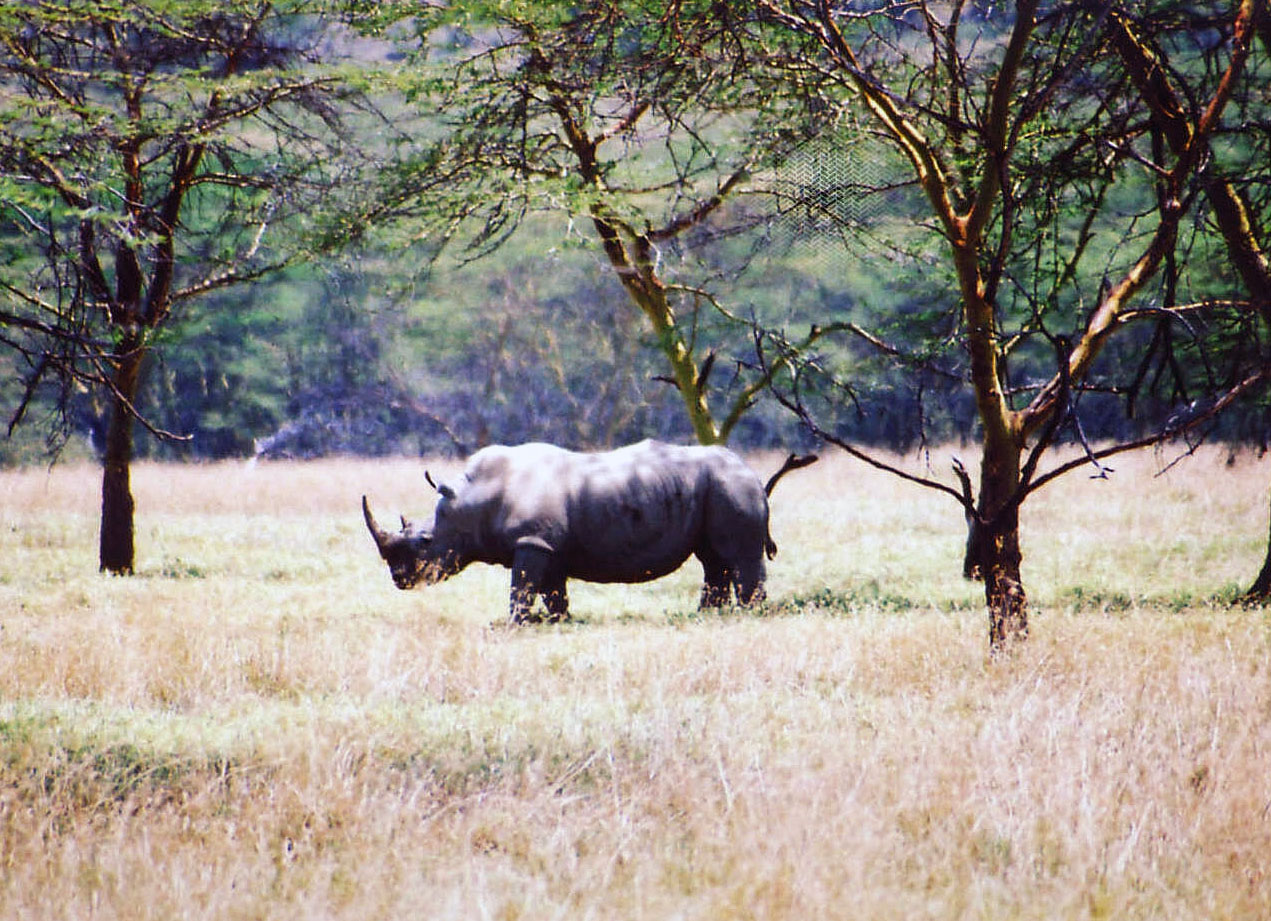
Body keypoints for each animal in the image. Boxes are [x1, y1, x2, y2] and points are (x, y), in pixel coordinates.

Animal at [361, 440, 817, 622]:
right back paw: (707, 615)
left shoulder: (532, 542)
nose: (399, 580)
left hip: (732, 487)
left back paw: (748, 612)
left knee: (739, 555)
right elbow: (552, 591)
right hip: (715, 488)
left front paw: (513, 624)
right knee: (712, 559)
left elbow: (522, 587)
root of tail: (754, 474)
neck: (475, 498)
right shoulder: (546, 545)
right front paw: (559, 622)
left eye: (425, 542)